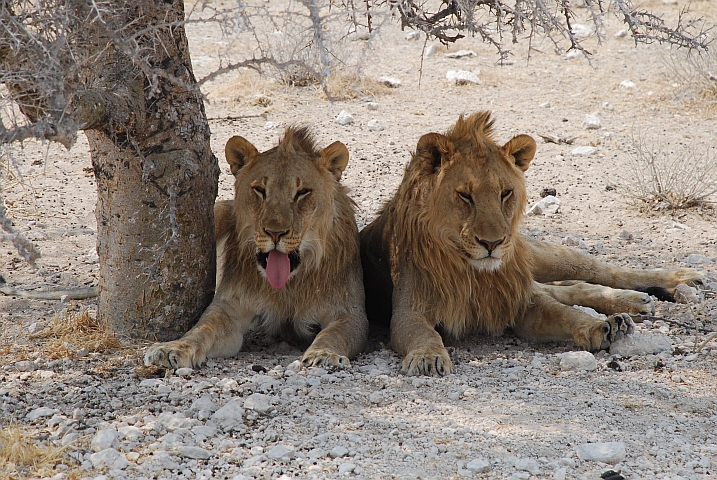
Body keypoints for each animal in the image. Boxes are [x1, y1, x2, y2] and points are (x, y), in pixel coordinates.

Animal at [145, 126, 370, 372]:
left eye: (302, 192)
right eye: (260, 190)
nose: (275, 232)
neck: (289, 286)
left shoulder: (350, 314)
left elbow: (333, 334)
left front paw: (324, 354)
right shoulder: (229, 309)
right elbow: (200, 330)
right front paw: (172, 348)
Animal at [360, 111, 704, 376]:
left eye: (505, 193)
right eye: (465, 195)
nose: (492, 243)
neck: (471, 272)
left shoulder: (520, 299)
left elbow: (563, 313)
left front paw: (596, 327)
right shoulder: (408, 310)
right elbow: (422, 332)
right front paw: (427, 357)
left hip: (541, 257)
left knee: (596, 271)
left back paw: (674, 282)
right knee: (570, 287)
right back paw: (630, 306)